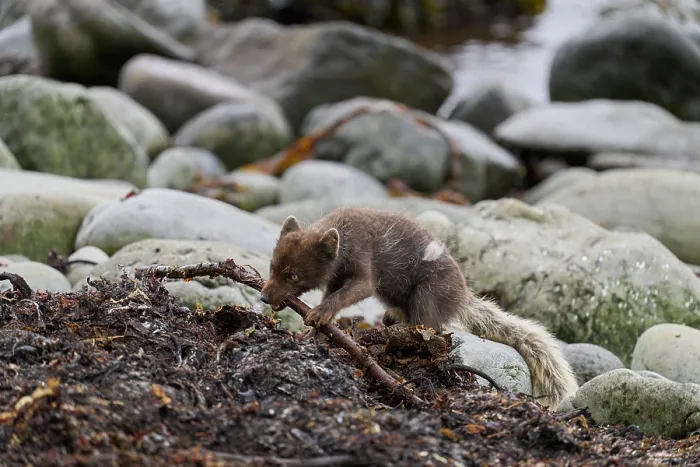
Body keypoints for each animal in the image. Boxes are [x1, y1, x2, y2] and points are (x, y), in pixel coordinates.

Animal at [259, 206, 579, 409]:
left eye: (293, 275)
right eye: (272, 266)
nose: (264, 297)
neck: (344, 231)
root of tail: (464, 297)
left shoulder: (363, 261)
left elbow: (355, 290)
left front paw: (318, 314)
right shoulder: (336, 275)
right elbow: (331, 295)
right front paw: (314, 330)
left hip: (428, 291)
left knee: (430, 324)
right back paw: (392, 318)